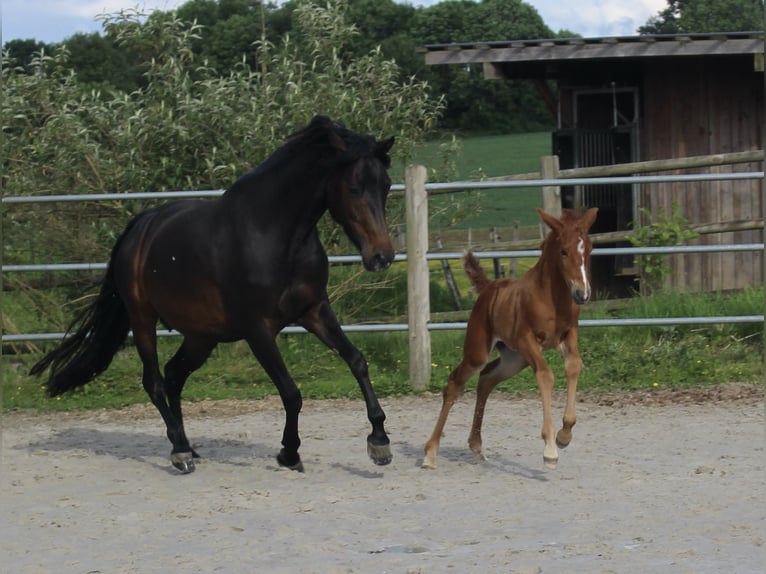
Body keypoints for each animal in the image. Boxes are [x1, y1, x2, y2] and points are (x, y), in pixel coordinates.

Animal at [30, 115, 396, 474]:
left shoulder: (314, 311)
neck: (275, 235)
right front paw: (289, 453)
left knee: (174, 375)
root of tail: (140, 227)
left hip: (202, 336)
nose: (382, 256)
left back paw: (187, 445)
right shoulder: (258, 329)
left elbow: (357, 361)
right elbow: (291, 393)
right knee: (155, 381)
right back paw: (180, 452)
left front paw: (379, 443)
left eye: (386, 186)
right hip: (143, 319)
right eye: (354, 188)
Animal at [422, 207, 598, 469]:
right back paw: (430, 453)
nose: (582, 294)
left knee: (486, 379)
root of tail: (487, 288)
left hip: (514, 359)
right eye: (563, 251)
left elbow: (574, 365)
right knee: (455, 383)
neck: (551, 298)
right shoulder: (527, 339)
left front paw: (564, 435)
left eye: (588, 249)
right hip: (480, 351)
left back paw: (476, 447)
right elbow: (545, 376)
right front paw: (550, 449)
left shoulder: (568, 334)